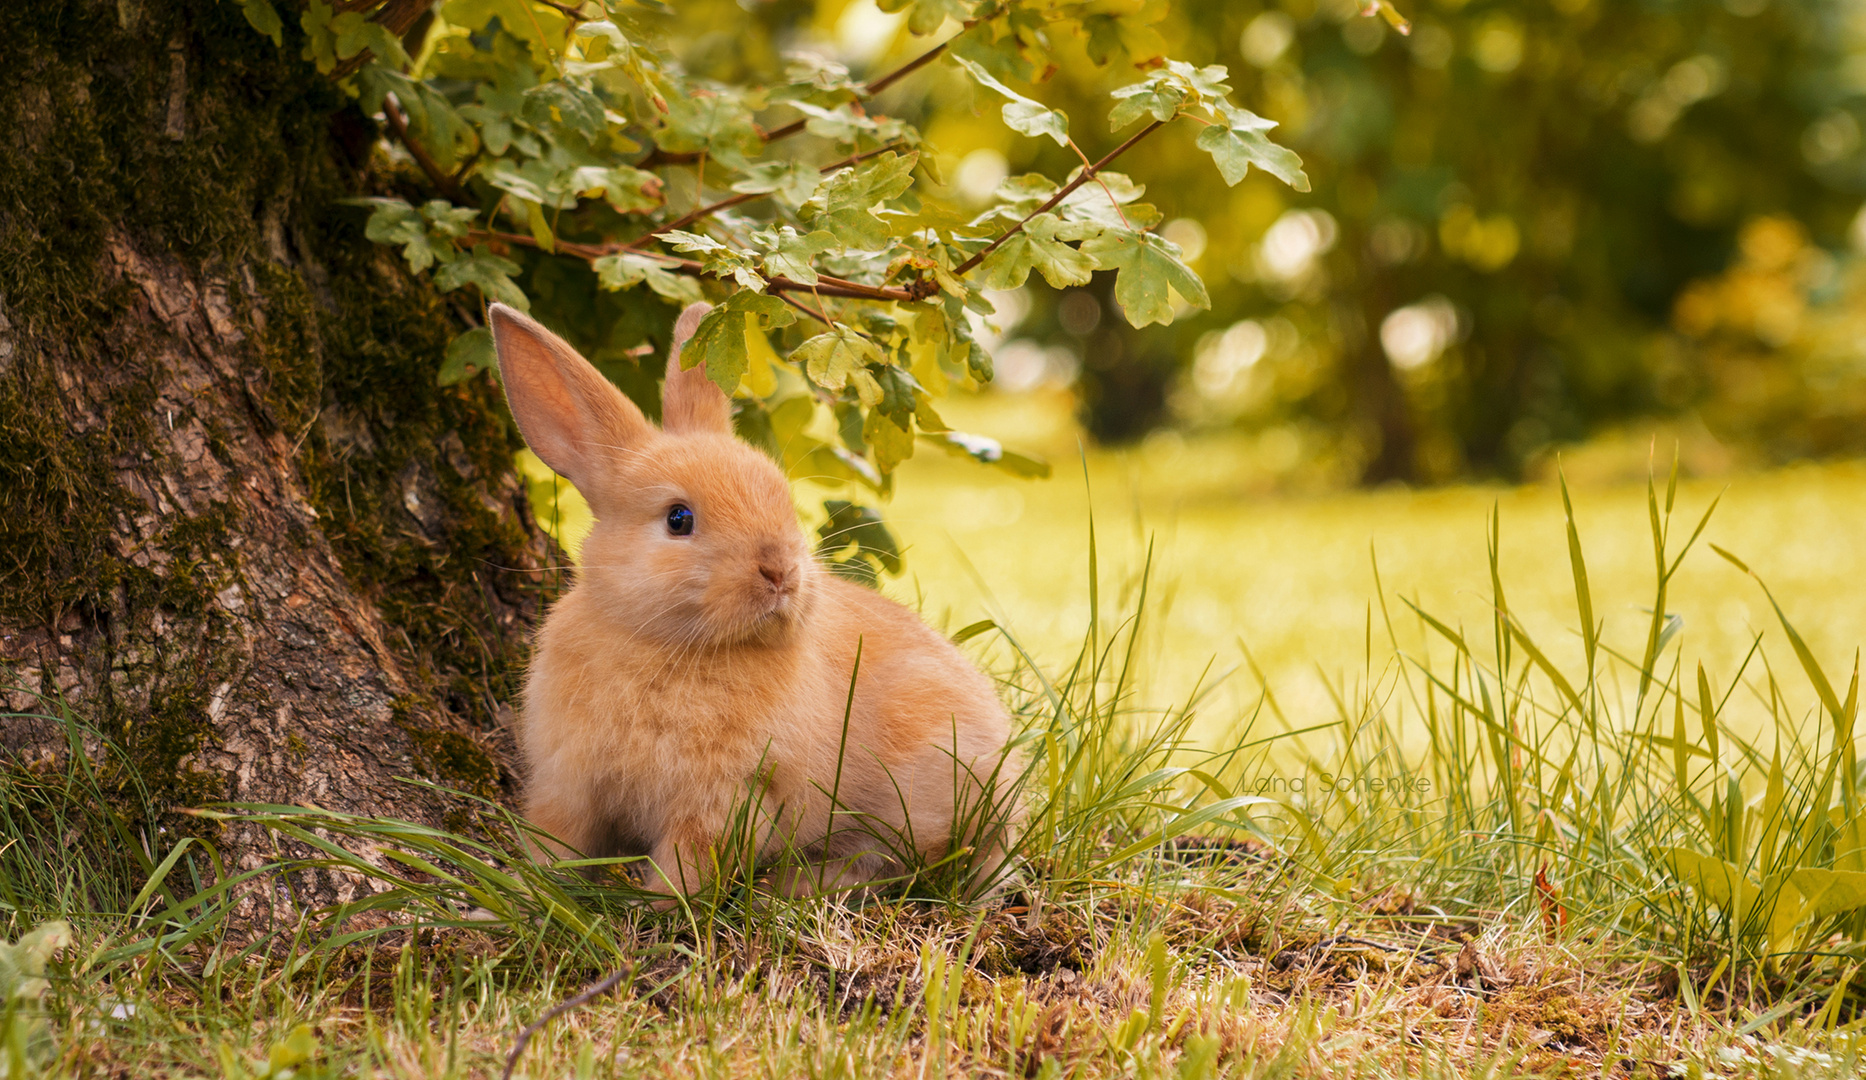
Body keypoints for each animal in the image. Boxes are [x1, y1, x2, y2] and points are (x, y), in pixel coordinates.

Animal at [488, 300, 1019, 900]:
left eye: (781, 497)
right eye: (678, 519)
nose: (780, 570)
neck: (661, 643)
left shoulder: (727, 799)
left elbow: (689, 862)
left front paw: (660, 903)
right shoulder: (569, 784)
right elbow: (556, 845)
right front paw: (523, 892)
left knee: (911, 860)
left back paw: (797, 882)